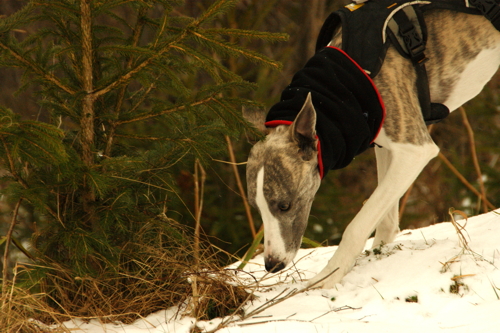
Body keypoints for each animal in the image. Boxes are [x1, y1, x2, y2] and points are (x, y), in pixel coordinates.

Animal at [243, 4, 500, 288]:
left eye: (284, 206)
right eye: (256, 207)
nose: (271, 265)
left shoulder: (413, 150)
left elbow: (357, 225)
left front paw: (328, 276)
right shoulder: (386, 146)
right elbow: (385, 220)